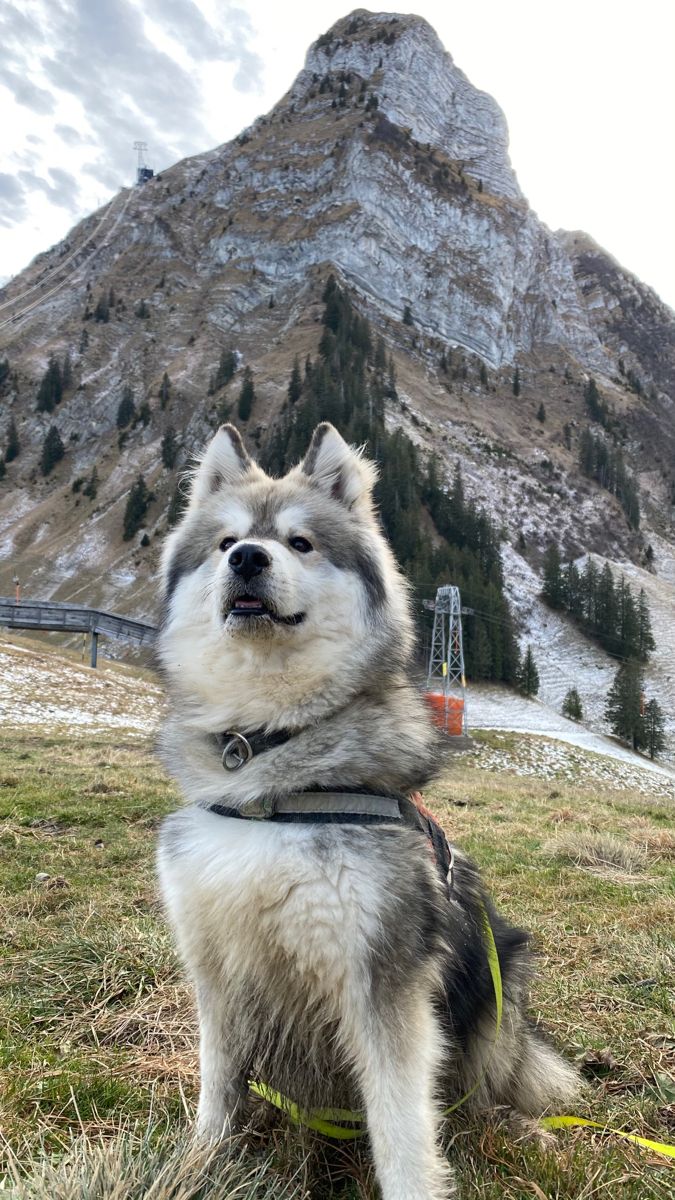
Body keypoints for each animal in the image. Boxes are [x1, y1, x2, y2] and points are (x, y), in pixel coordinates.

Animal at [154, 424, 576, 1200]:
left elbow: (403, 1127)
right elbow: (218, 1086)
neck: (269, 765)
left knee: (485, 1090)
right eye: (226, 540)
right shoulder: (215, 967)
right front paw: (200, 1163)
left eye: (299, 543)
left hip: (501, 975)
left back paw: (513, 1128)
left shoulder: (381, 981)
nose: (248, 557)